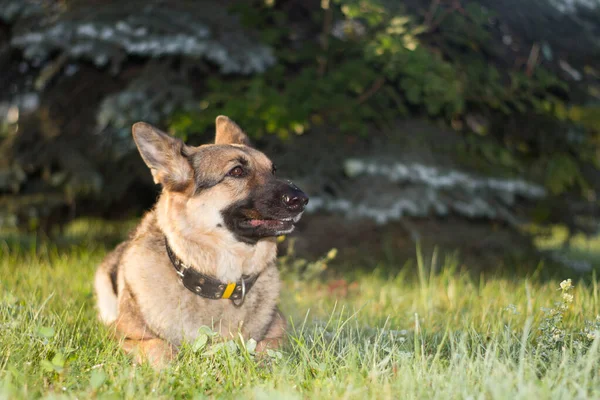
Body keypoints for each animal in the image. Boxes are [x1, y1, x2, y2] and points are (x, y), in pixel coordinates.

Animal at [95, 115, 310, 368]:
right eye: (237, 171)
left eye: (273, 170)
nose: (302, 199)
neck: (221, 283)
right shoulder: (122, 337)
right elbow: (160, 347)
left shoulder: (280, 334)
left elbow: (267, 348)